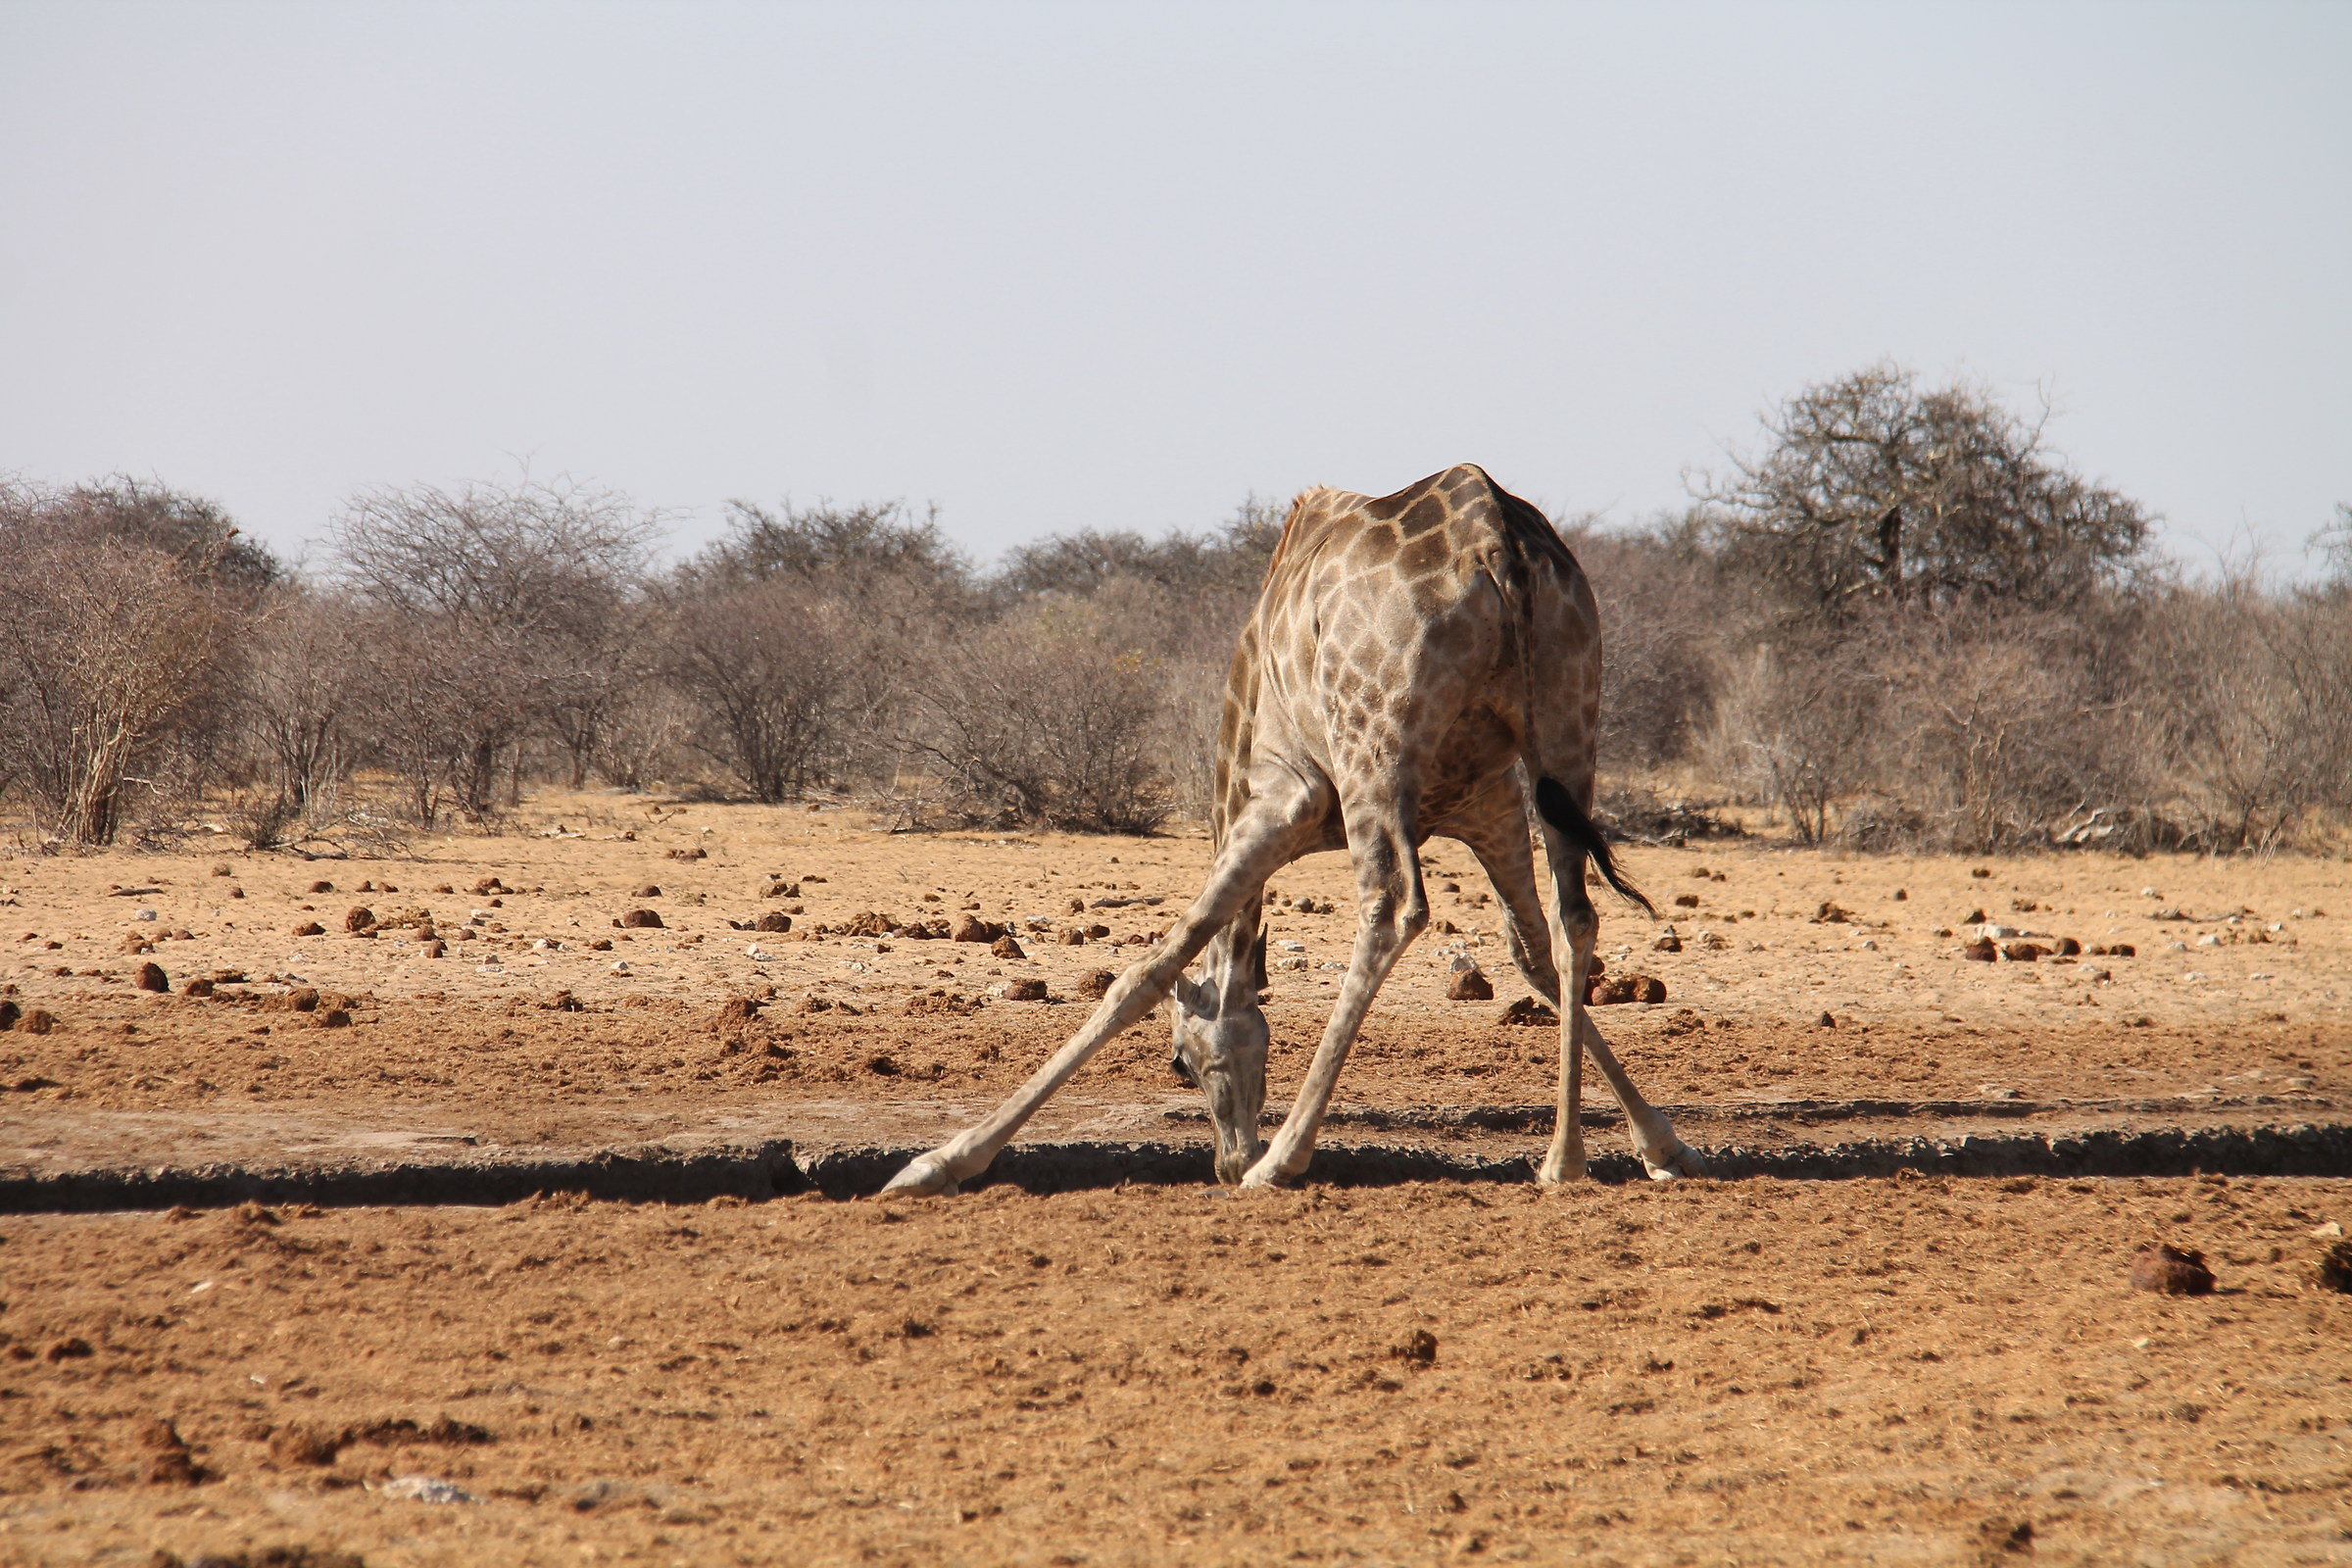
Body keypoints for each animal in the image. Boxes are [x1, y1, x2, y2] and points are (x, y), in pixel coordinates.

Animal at [883, 463, 1702, 1195]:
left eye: (1180, 1062)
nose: (1226, 1159)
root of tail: (1496, 541)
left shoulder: (1283, 797)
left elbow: (1149, 969)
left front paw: (939, 1164)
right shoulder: (1489, 805)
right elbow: (1534, 954)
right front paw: (1661, 1145)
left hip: (1374, 747)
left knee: (1392, 908)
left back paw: (1283, 1160)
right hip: (1568, 726)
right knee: (1577, 918)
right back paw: (1561, 1163)